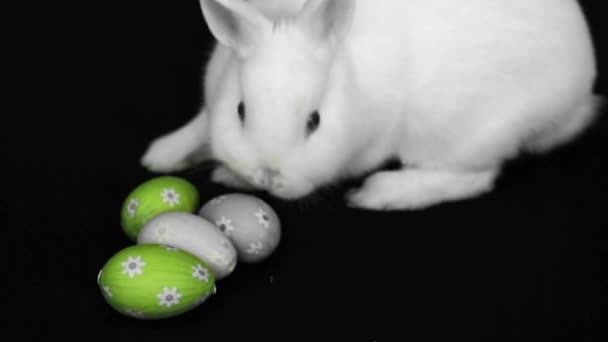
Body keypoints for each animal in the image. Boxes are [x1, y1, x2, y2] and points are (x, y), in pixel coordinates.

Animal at [141, 0, 600, 210]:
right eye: (240, 111)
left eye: (315, 121)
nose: (269, 175)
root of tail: (580, 88)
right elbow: (200, 125)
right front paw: (161, 155)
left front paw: (230, 177)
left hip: (463, 135)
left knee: (476, 177)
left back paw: (382, 193)